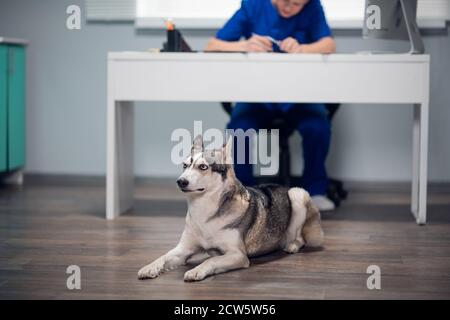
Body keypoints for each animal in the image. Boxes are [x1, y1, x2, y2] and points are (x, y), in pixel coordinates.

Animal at [138, 136, 324, 282]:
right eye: (185, 165)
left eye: (203, 167)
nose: (180, 181)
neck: (204, 210)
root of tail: (283, 185)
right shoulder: (183, 250)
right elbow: (163, 256)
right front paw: (149, 267)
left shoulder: (238, 255)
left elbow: (210, 260)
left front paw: (197, 270)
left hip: (297, 194)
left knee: (301, 237)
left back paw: (292, 245)